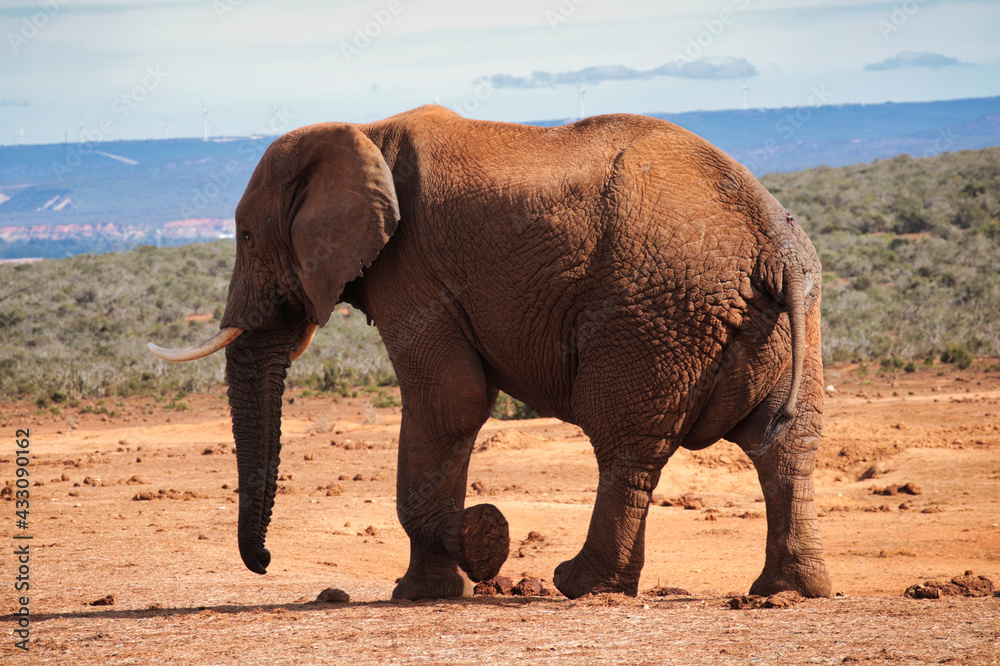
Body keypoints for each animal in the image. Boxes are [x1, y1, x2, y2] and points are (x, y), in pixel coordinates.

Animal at [149, 105, 831, 600]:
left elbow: (450, 401)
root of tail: (774, 243)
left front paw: (474, 546)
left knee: (626, 445)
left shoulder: (413, 269)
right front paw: (432, 588)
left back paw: (581, 585)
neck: (362, 130)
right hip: (784, 318)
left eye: (244, 235)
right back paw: (788, 591)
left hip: (654, 312)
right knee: (785, 445)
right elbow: (454, 406)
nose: (263, 562)